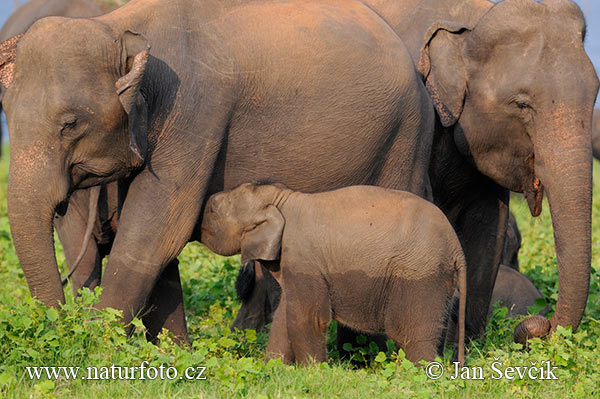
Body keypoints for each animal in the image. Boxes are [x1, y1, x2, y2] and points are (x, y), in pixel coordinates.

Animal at [0, 0, 434, 334]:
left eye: (70, 124)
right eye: (7, 115)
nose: (59, 323)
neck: (119, 26)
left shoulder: (192, 112)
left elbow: (153, 234)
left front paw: (98, 344)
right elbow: (159, 246)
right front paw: (174, 357)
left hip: (406, 138)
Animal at [199, 184, 466, 366]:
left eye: (212, 211)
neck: (281, 199)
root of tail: (457, 249)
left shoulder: (303, 258)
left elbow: (308, 317)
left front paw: (312, 372)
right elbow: (285, 315)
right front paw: (273, 369)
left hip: (419, 276)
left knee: (412, 336)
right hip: (439, 279)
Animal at [354, 0, 596, 344]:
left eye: (595, 95)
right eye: (521, 104)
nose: (538, 325)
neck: (470, 22)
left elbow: (488, 221)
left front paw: (470, 343)